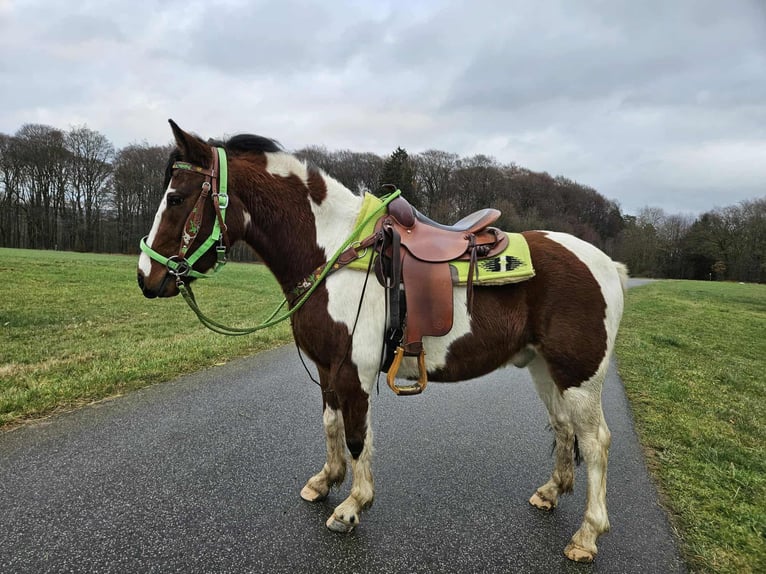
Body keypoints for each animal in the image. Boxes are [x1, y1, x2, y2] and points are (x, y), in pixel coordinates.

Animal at [137, 120, 628, 563]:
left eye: (176, 198)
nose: (146, 277)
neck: (334, 250)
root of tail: (608, 264)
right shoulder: (327, 368)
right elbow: (332, 426)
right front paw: (325, 481)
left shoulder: (355, 369)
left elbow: (357, 438)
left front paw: (352, 507)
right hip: (546, 369)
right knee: (563, 428)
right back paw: (551, 492)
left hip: (579, 375)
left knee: (596, 442)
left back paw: (587, 535)